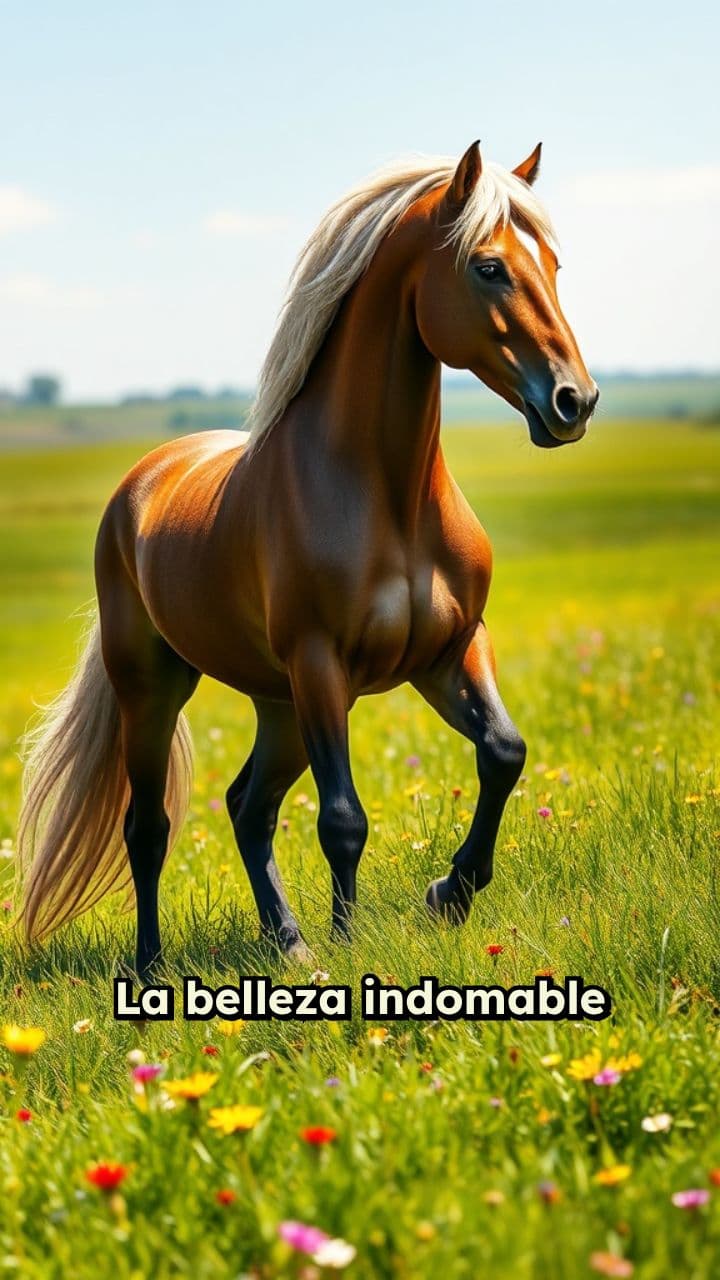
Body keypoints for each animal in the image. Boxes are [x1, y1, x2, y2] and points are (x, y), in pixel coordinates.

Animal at [18, 140, 597, 977]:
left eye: (552, 262)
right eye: (488, 266)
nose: (573, 402)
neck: (386, 494)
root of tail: (142, 481)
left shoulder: (449, 651)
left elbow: (504, 752)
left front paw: (448, 894)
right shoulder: (322, 664)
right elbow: (343, 818)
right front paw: (351, 945)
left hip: (279, 705)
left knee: (246, 806)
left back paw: (287, 941)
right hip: (156, 688)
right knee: (149, 827)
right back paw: (156, 964)